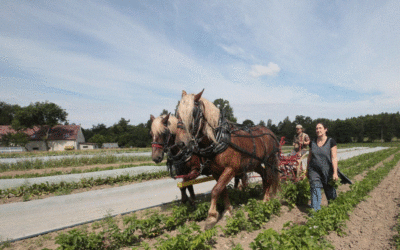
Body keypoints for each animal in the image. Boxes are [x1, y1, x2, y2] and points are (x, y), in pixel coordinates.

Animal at [177, 89, 280, 229]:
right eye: (177, 113)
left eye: (193, 113)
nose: (180, 144)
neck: (219, 139)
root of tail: (270, 132)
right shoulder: (216, 172)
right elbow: (222, 190)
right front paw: (227, 211)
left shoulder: (230, 169)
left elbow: (216, 190)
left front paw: (211, 216)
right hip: (255, 163)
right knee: (264, 176)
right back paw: (265, 195)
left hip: (269, 161)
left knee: (269, 177)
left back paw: (265, 200)